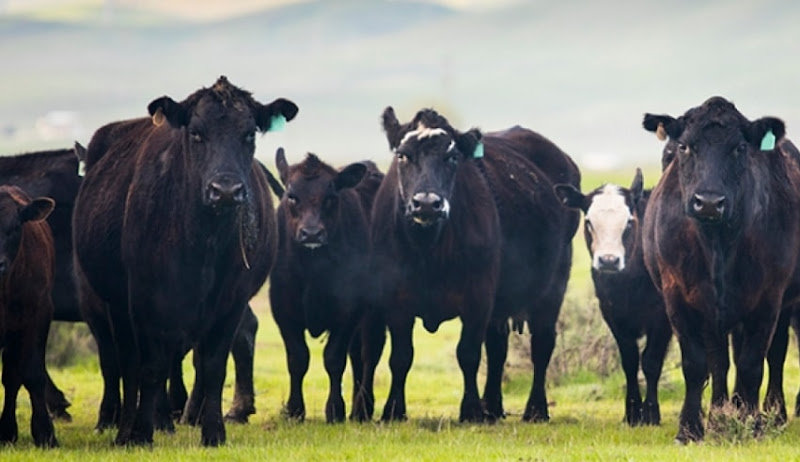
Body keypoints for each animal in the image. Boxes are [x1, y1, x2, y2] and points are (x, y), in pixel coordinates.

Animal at [72, 76, 296, 446]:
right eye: (196, 133)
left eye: (249, 134)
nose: (225, 190)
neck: (204, 242)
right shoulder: (144, 302)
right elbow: (150, 368)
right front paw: (141, 433)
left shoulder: (230, 302)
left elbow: (213, 366)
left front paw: (213, 433)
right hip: (115, 306)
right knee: (128, 364)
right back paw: (126, 429)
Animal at [269, 148, 383, 423]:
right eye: (292, 196)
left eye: (331, 197)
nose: (311, 233)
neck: (313, 272)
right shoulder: (284, 312)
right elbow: (297, 358)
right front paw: (294, 410)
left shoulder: (348, 312)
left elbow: (334, 359)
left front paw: (335, 410)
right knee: (358, 356)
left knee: (369, 354)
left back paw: (362, 409)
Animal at [356, 108, 580, 423]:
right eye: (403, 155)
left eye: (451, 157)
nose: (427, 203)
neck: (429, 249)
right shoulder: (396, 301)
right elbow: (401, 357)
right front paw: (393, 410)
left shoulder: (478, 298)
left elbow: (468, 354)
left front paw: (471, 410)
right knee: (498, 347)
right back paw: (493, 406)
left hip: (553, 286)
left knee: (541, 345)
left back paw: (535, 409)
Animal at [554, 169, 671, 426]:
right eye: (589, 222)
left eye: (629, 221)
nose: (609, 260)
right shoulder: (614, 315)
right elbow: (629, 361)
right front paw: (632, 413)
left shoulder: (662, 319)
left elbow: (651, 361)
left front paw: (651, 413)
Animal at [641, 96, 800, 443]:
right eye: (685, 146)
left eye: (740, 148)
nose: (710, 202)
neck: (718, 244)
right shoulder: (679, 299)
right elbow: (697, 364)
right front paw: (690, 428)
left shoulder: (767, 299)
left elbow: (752, 363)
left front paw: (752, 424)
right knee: (720, 362)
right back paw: (717, 418)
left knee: (774, 355)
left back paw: (773, 415)